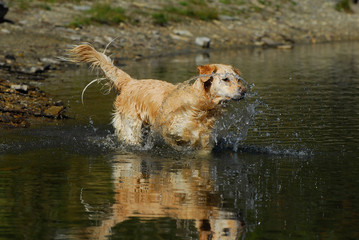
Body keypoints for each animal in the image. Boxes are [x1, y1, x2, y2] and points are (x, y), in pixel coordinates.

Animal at [69, 44, 246, 149]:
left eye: (238, 79)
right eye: (225, 79)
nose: (243, 91)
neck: (201, 103)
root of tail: (131, 82)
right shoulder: (172, 128)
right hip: (132, 127)